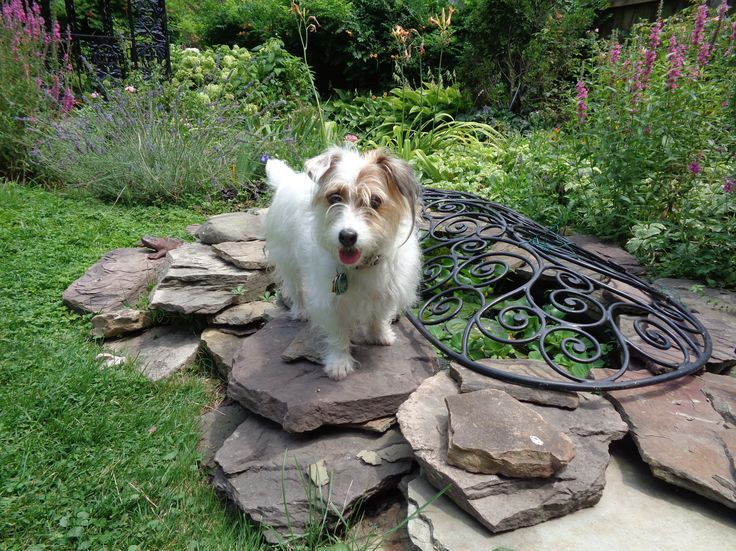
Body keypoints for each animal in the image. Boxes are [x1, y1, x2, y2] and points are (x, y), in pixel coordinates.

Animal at [266, 147, 422, 380]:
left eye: (375, 201)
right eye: (334, 197)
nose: (347, 236)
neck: (362, 265)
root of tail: (289, 178)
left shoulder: (388, 287)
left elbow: (379, 314)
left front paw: (379, 334)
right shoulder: (330, 302)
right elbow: (338, 333)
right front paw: (339, 363)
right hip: (288, 260)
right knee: (295, 287)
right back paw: (301, 310)